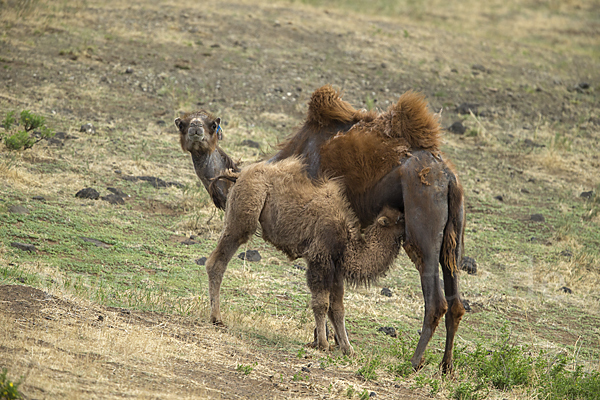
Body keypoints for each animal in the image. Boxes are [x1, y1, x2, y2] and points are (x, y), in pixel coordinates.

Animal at [204, 158, 406, 354]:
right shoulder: (320, 259)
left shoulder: (335, 269)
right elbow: (321, 303)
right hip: (244, 215)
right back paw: (217, 319)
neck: (346, 243)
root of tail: (238, 175)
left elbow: (338, 308)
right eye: (400, 219)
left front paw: (348, 348)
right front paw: (323, 344)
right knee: (217, 261)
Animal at [270, 84, 466, 376]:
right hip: (452, 242)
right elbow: (334, 291)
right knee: (456, 303)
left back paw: (414, 361)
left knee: (435, 301)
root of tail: (449, 178)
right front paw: (334, 343)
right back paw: (446, 367)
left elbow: (323, 288)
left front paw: (321, 342)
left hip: (422, 233)